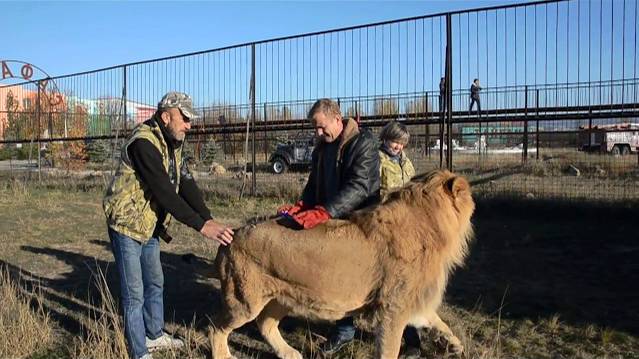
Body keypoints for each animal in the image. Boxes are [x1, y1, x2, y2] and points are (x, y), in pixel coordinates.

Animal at [210, 169, 476, 359]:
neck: (430, 222)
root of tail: (232, 234)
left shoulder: (412, 298)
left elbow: (439, 321)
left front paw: (455, 345)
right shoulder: (393, 306)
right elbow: (389, 348)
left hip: (282, 296)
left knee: (265, 324)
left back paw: (290, 354)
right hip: (245, 301)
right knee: (216, 327)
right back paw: (225, 356)